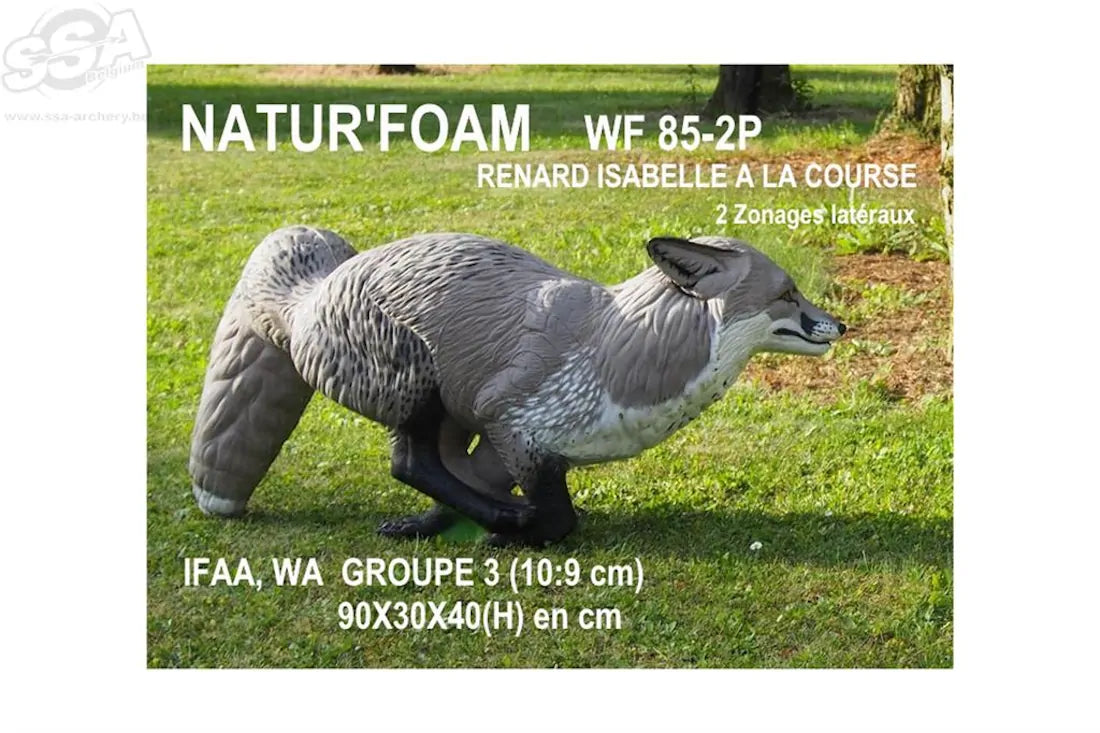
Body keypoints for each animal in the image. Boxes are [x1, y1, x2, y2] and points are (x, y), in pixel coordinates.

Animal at [189, 226, 846, 546]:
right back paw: (501, 521)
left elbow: (467, 486)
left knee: (430, 467)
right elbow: (559, 520)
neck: (619, 345)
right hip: (419, 383)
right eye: (788, 294)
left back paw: (430, 526)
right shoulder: (513, 421)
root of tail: (309, 293)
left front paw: (449, 524)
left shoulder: (511, 437)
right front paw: (517, 531)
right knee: (408, 462)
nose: (842, 325)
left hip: (450, 410)